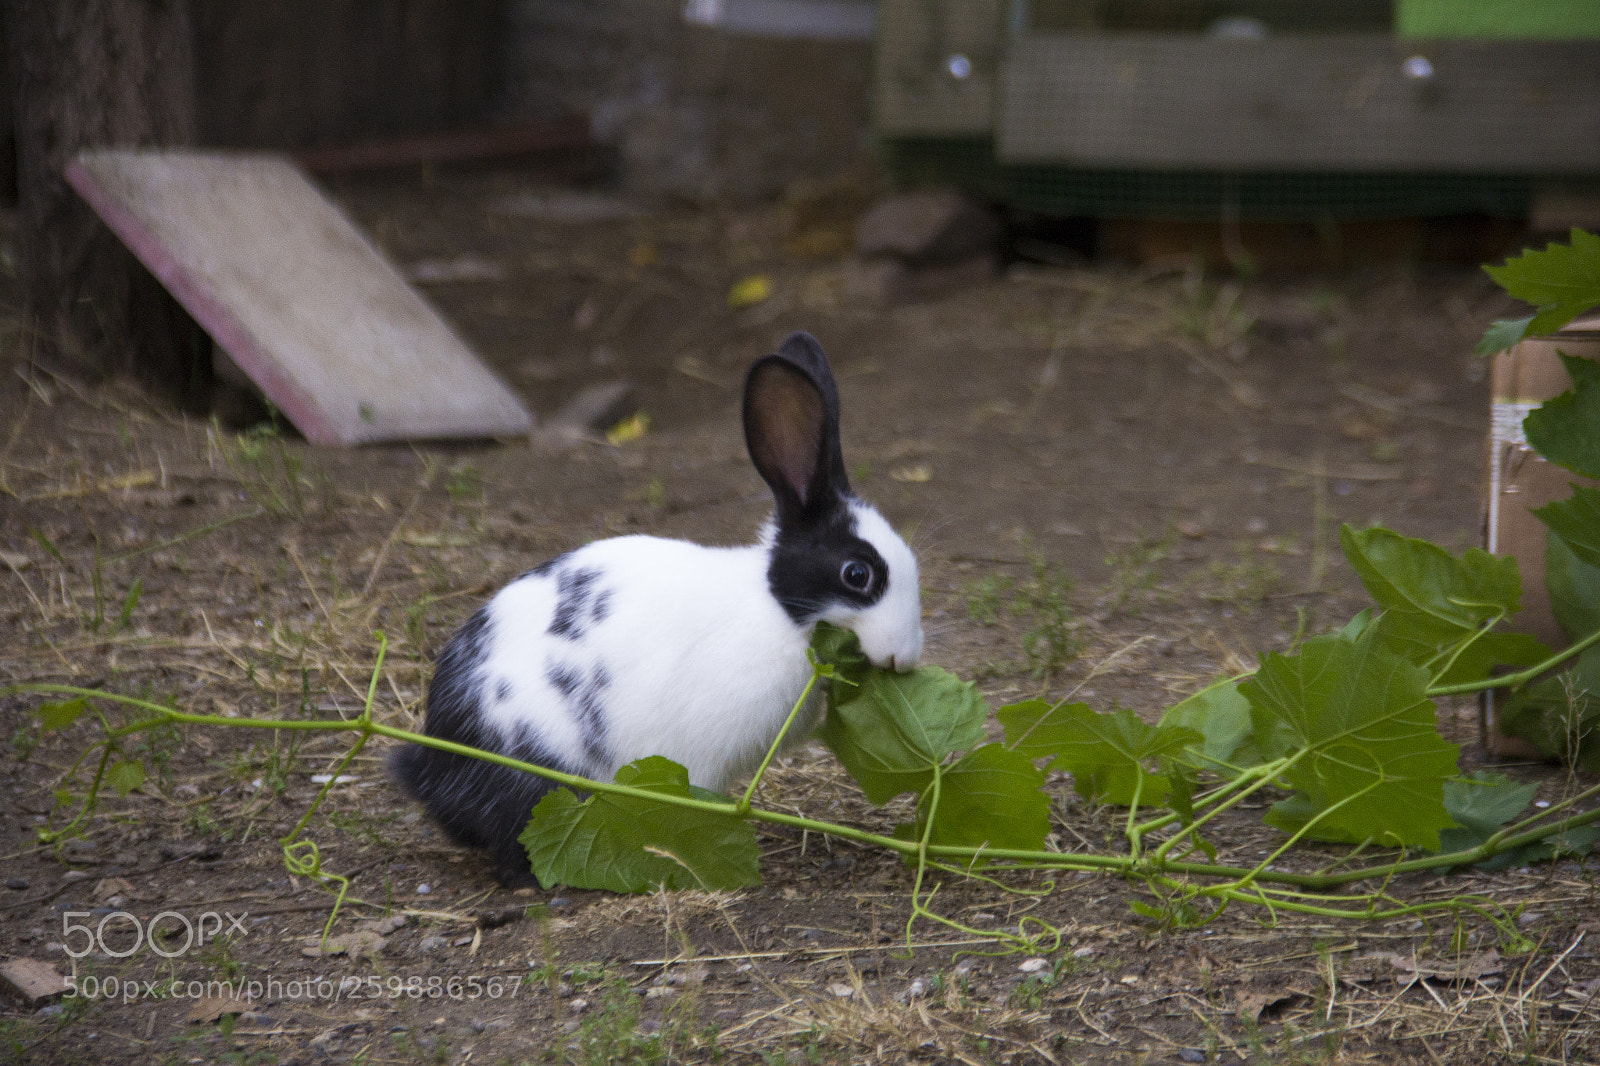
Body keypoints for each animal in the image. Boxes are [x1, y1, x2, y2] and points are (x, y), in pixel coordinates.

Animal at [391, 332, 924, 887]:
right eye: (858, 575)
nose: (905, 658)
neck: (779, 613)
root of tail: (434, 768)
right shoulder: (705, 754)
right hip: (539, 773)